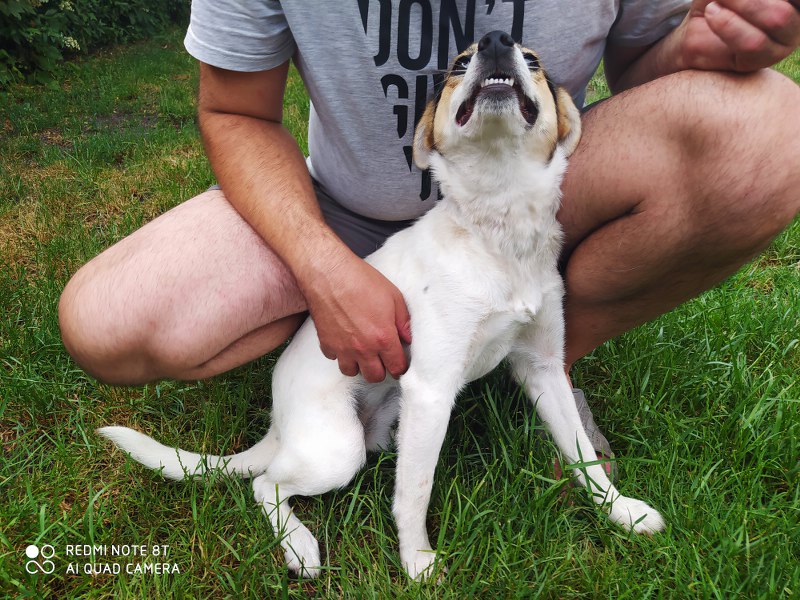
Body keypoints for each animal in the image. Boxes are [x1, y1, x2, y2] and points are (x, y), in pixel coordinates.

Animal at [98, 31, 664, 580]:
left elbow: (582, 453)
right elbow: (414, 492)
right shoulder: (432, 391)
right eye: (459, 64)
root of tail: (278, 422)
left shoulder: (543, 366)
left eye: (533, 59)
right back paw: (300, 547)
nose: (496, 41)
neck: (498, 227)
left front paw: (620, 510)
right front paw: (417, 561)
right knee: (265, 485)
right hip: (338, 450)